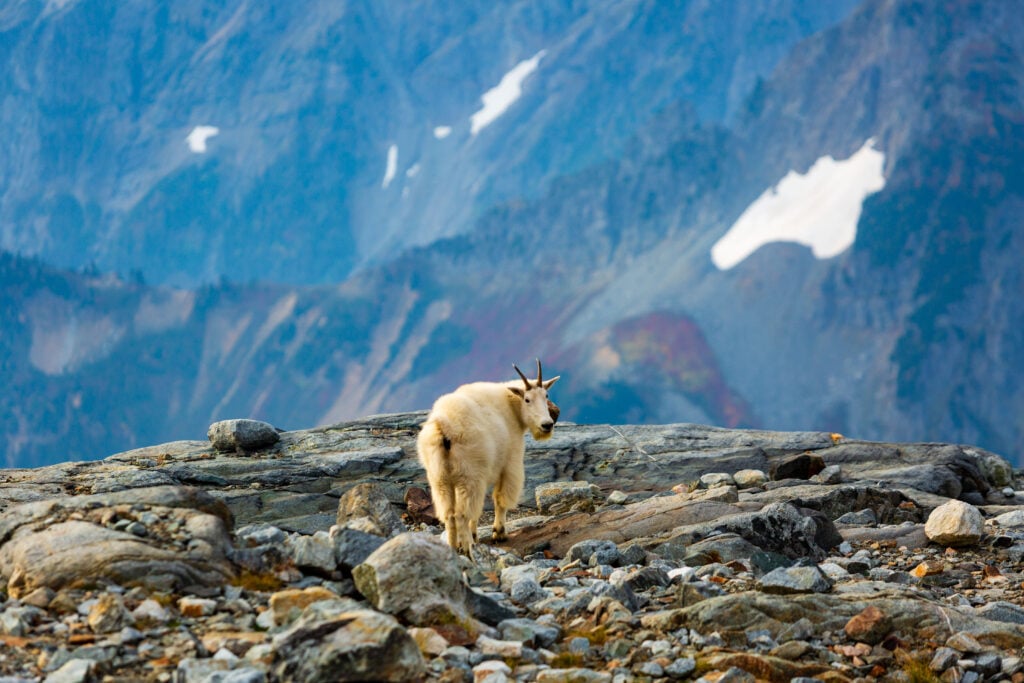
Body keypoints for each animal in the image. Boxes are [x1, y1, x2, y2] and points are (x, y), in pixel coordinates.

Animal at [417, 360, 560, 555]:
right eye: (527, 399)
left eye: (546, 395)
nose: (547, 425)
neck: (511, 407)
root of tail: (444, 426)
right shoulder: (510, 463)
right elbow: (500, 499)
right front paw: (499, 533)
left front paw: (477, 534)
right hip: (468, 476)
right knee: (461, 514)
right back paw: (468, 547)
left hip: (440, 478)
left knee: (449, 514)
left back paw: (453, 548)